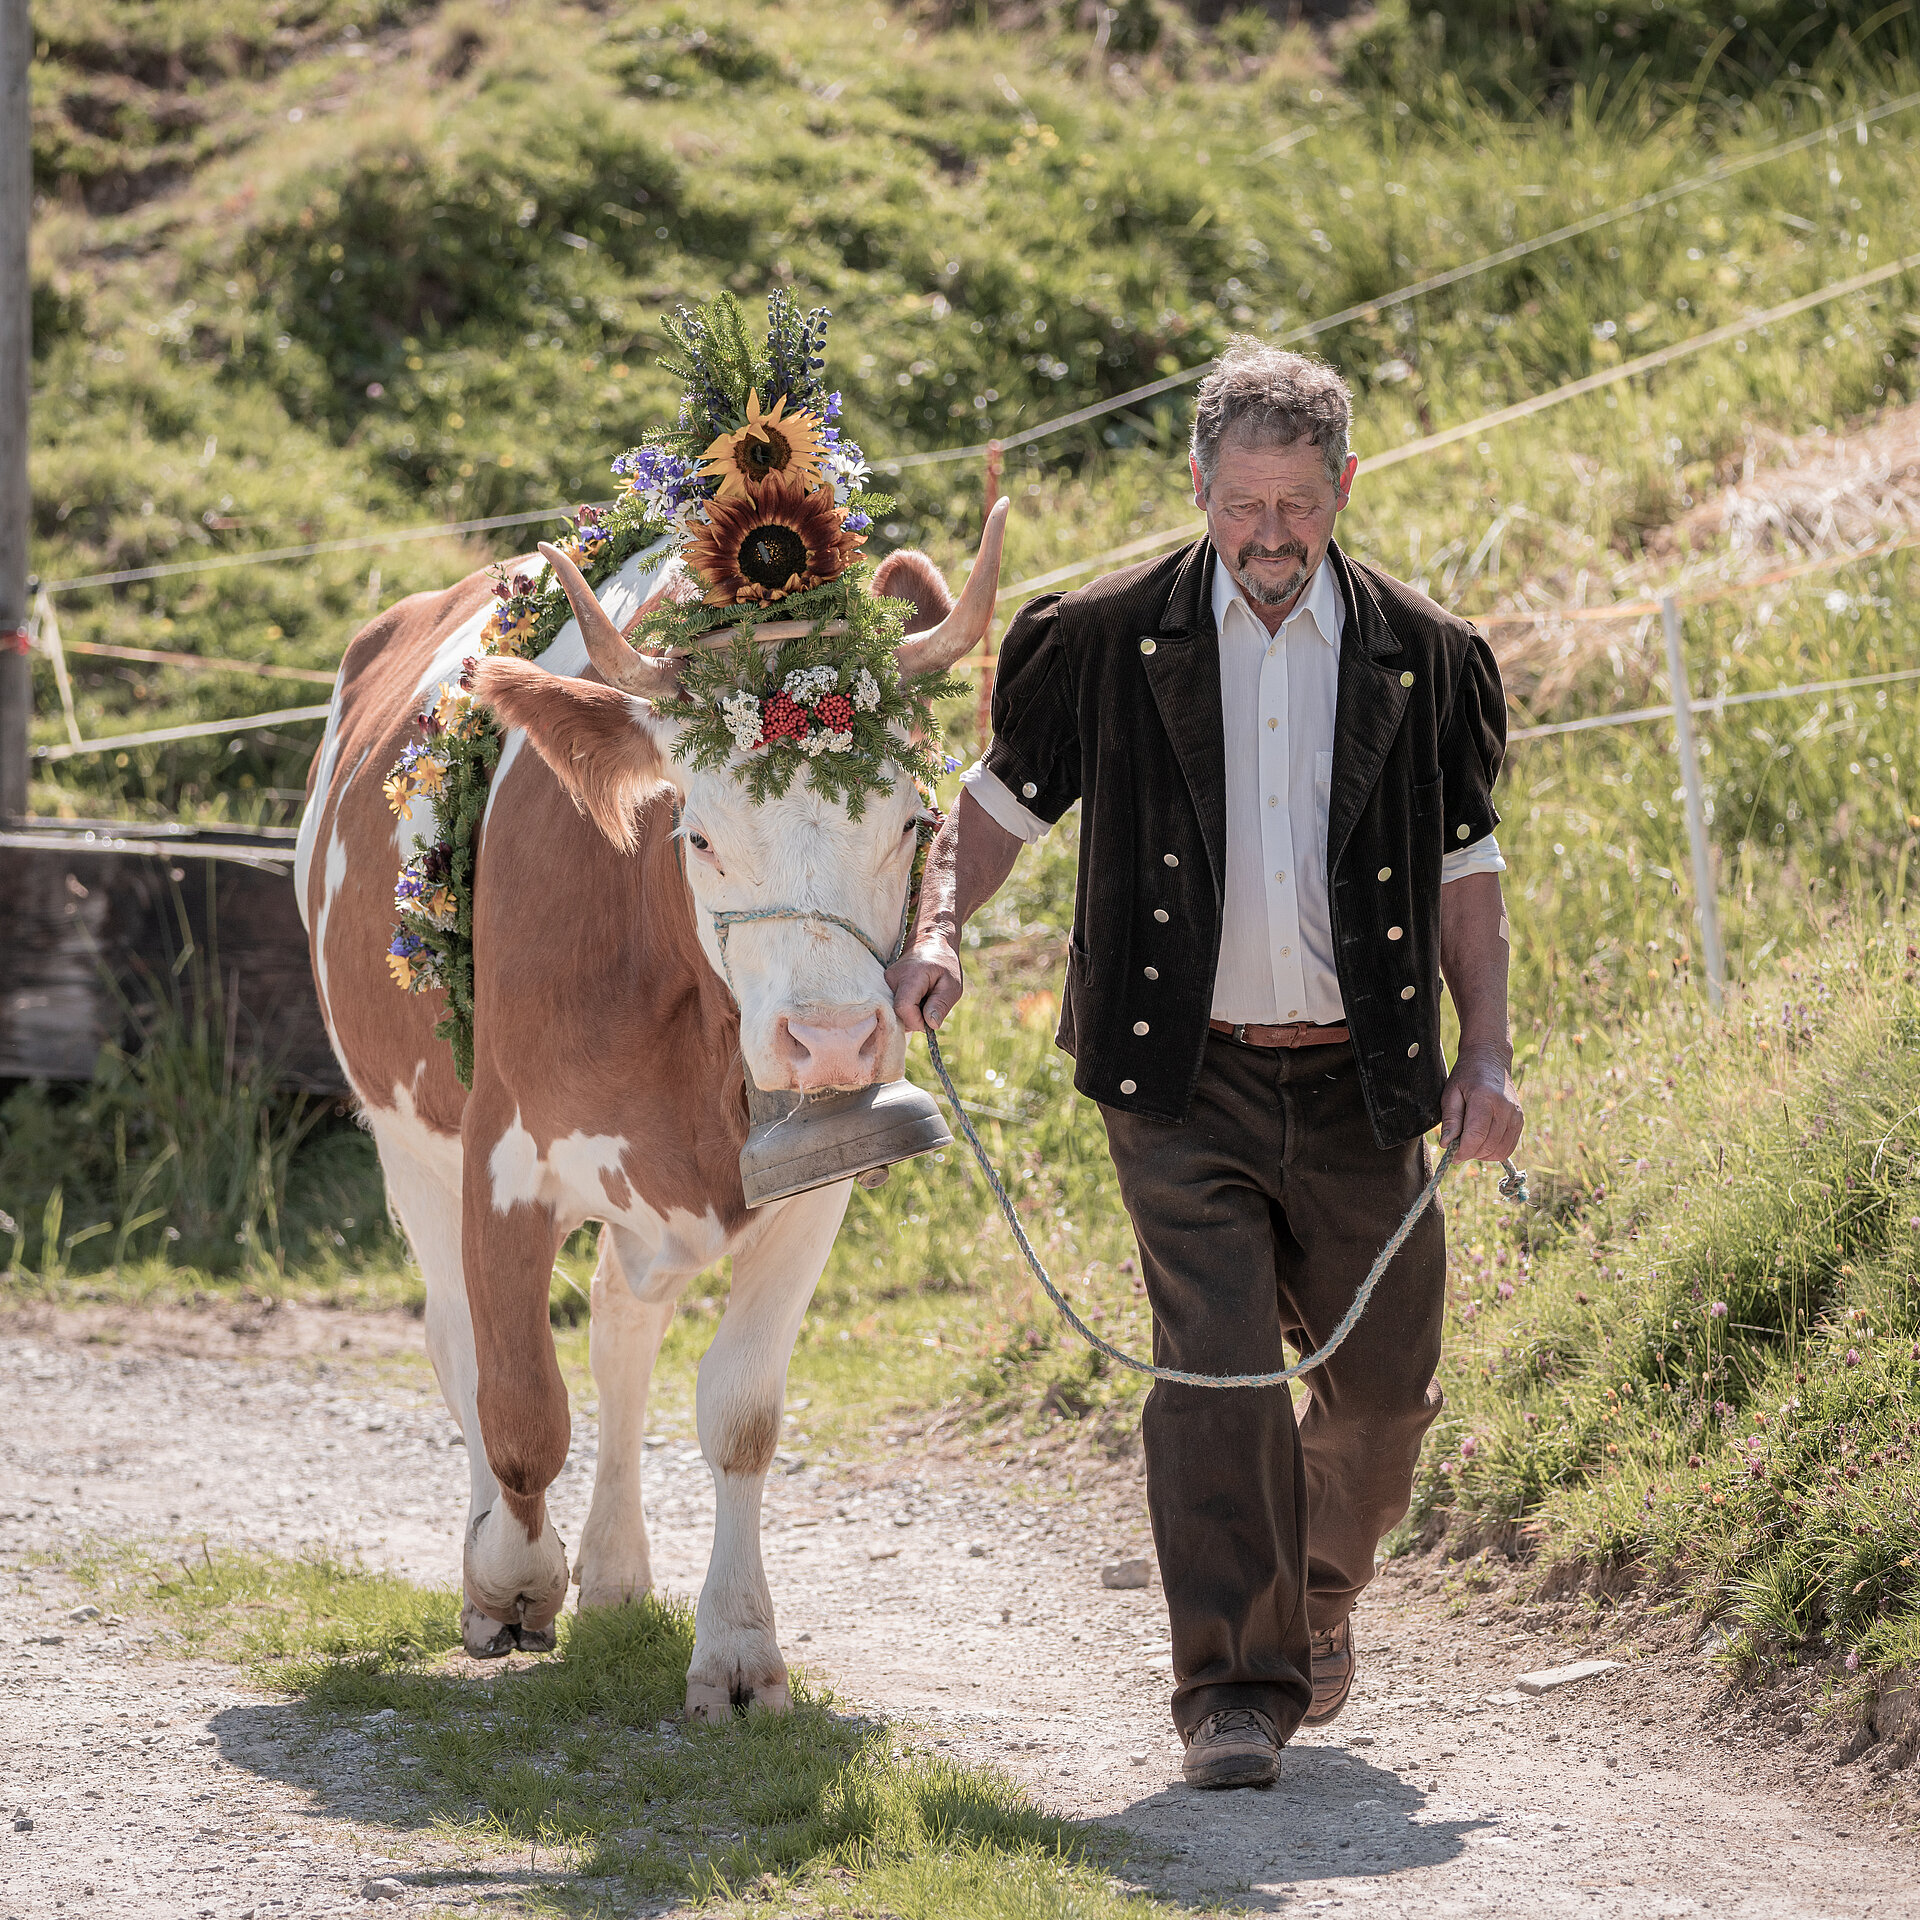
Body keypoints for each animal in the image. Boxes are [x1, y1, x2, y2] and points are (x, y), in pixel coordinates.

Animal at [293, 503, 1013, 1720]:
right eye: (699, 833)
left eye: (915, 821)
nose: (831, 1039)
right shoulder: (501, 1163)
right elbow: (520, 1407)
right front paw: (512, 1579)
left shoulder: (813, 1180)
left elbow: (739, 1414)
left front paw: (737, 1648)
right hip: (406, 1145)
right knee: (459, 1341)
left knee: (621, 1325)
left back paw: (619, 1570)